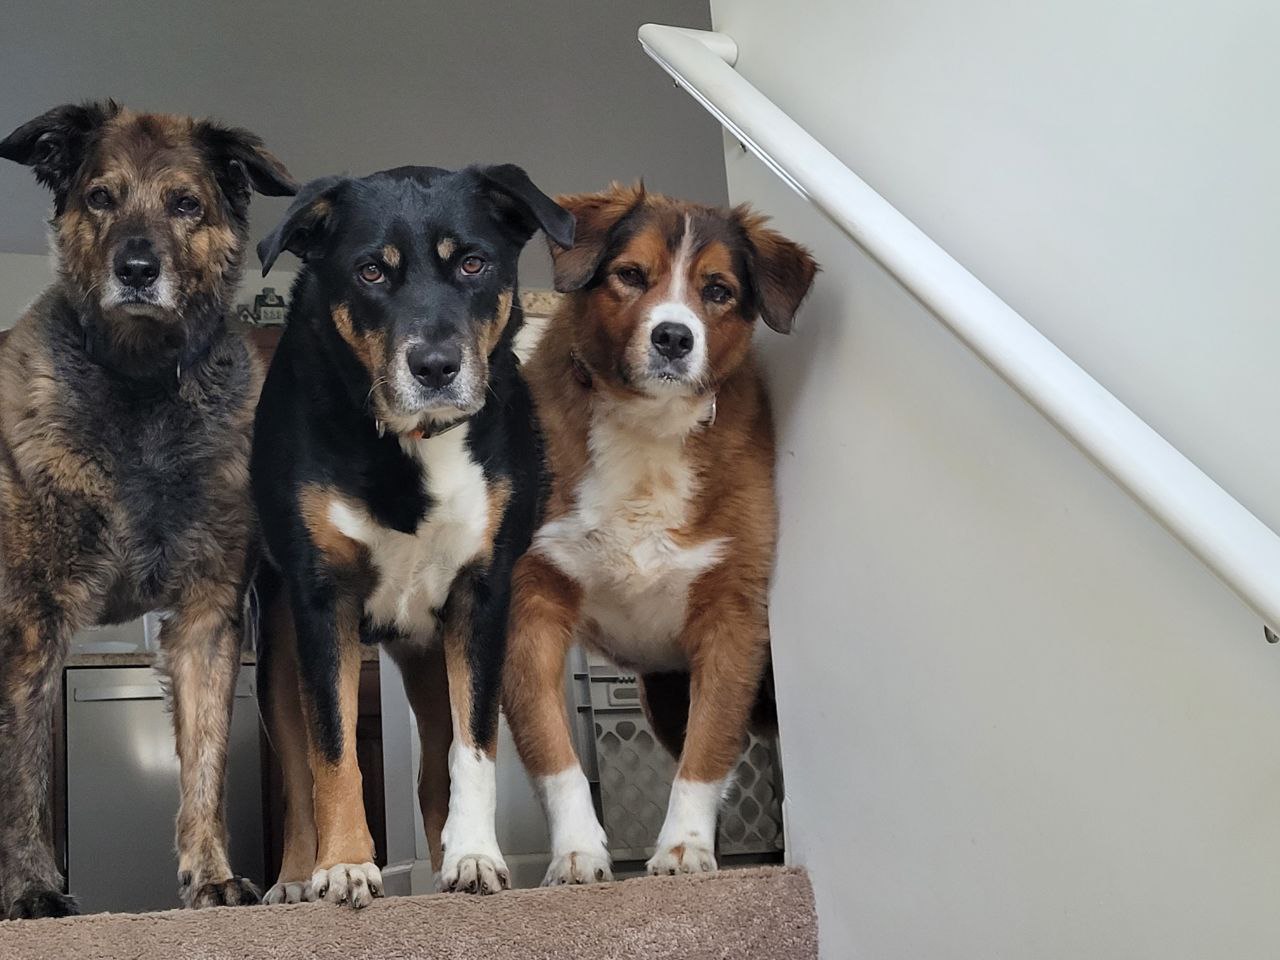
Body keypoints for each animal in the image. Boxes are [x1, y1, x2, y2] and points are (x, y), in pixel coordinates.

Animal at [0, 101, 294, 921]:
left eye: (185, 204)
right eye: (100, 197)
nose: (136, 269)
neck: (139, 384)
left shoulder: (206, 620)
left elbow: (206, 764)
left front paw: (213, 874)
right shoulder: (32, 623)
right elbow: (25, 776)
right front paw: (32, 889)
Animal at [250, 163, 570, 911]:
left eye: (473, 263)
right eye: (371, 271)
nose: (435, 365)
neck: (412, 445)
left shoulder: (481, 598)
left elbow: (473, 746)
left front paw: (476, 855)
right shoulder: (322, 602)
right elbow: (332, 750)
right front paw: (343, 866)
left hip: (426, 655)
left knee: (434, 769)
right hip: (275, 647)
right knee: (298, 774)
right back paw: (295, 877)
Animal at [504, 184, 814, 885]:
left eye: (718, 290)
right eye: (631, 275)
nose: (674, 336)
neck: (647, 426)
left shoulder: (731, 614)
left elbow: (708, 751)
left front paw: (683, 848)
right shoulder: (531, 600)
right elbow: (551, 746)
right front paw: (575, 851)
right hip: (666, 692)